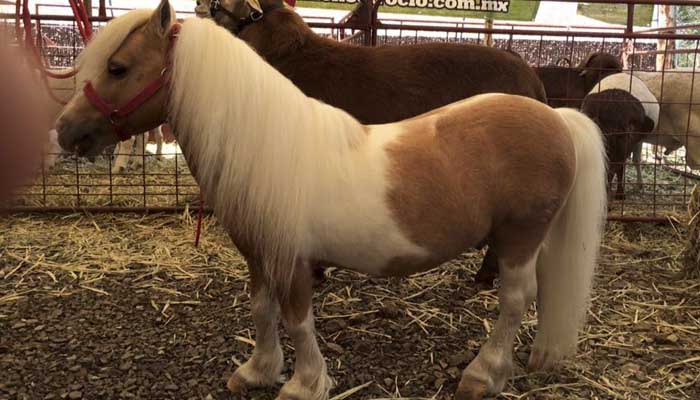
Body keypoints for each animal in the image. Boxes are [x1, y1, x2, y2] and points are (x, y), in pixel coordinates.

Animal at [54, 4, 607, 399]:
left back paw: (482, 375)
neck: (264, 141)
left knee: (516, 299)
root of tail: (556, 118)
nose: (64, 131)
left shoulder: (294, 261)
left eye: (118, 67)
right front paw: (257, 371)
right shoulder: (258, 255)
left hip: (520, 236)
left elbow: (298, 321)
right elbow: (261, 310)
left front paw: (303, 384)